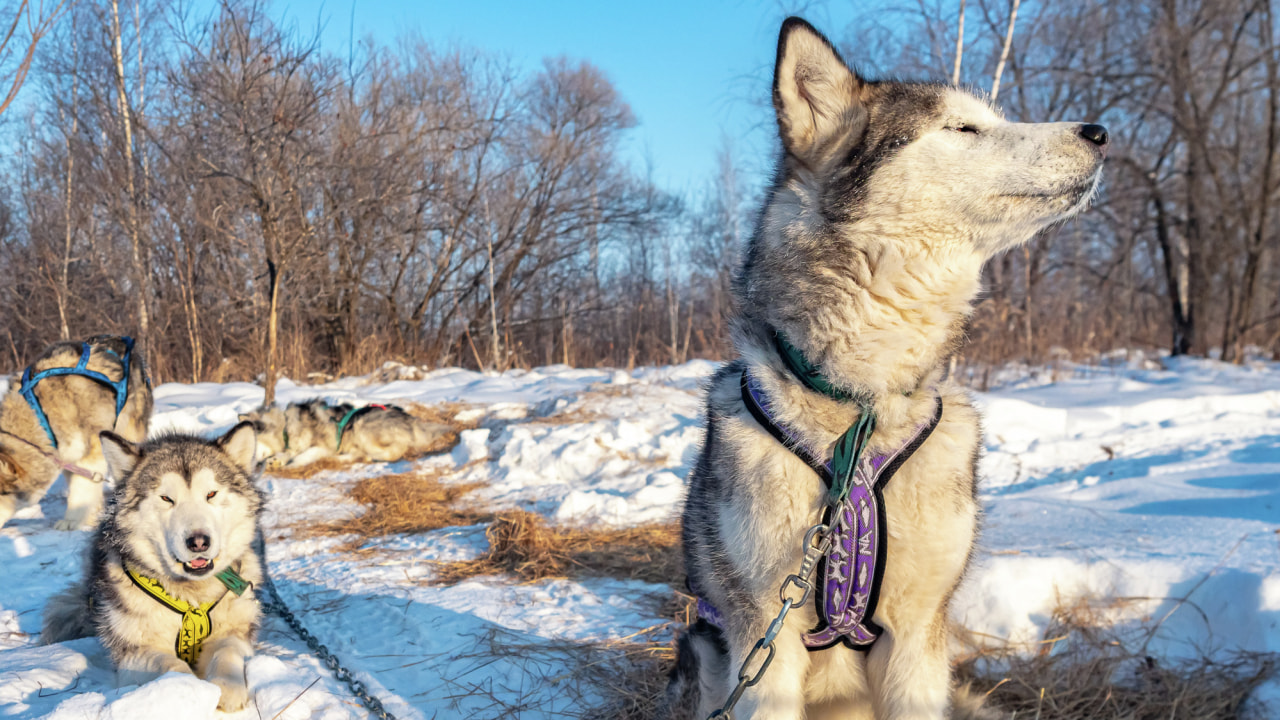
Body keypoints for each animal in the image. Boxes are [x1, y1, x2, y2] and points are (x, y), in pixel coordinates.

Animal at [43, 422, 264, 707]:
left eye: (211, 494)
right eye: (166, 498)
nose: (199, 542)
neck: (190, 596)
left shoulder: (236, 629)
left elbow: (225, 651)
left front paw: (227, 686)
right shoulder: (132, 652)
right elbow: (170, 666)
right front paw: (190, 693)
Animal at [241, 397, 458, 466]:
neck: (285, 426)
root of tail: (409, 418)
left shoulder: (322, 446)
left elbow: (301, 456)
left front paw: (291, 462)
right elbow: (287, 454)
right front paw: (276, 460)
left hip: (362, 426)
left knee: (392, 452)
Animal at [665, 16, 1105, 717]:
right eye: (962, 128)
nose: (1100, 132)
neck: (861, 405)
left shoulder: (919, 639)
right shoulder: (765, 642)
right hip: (710, 654)